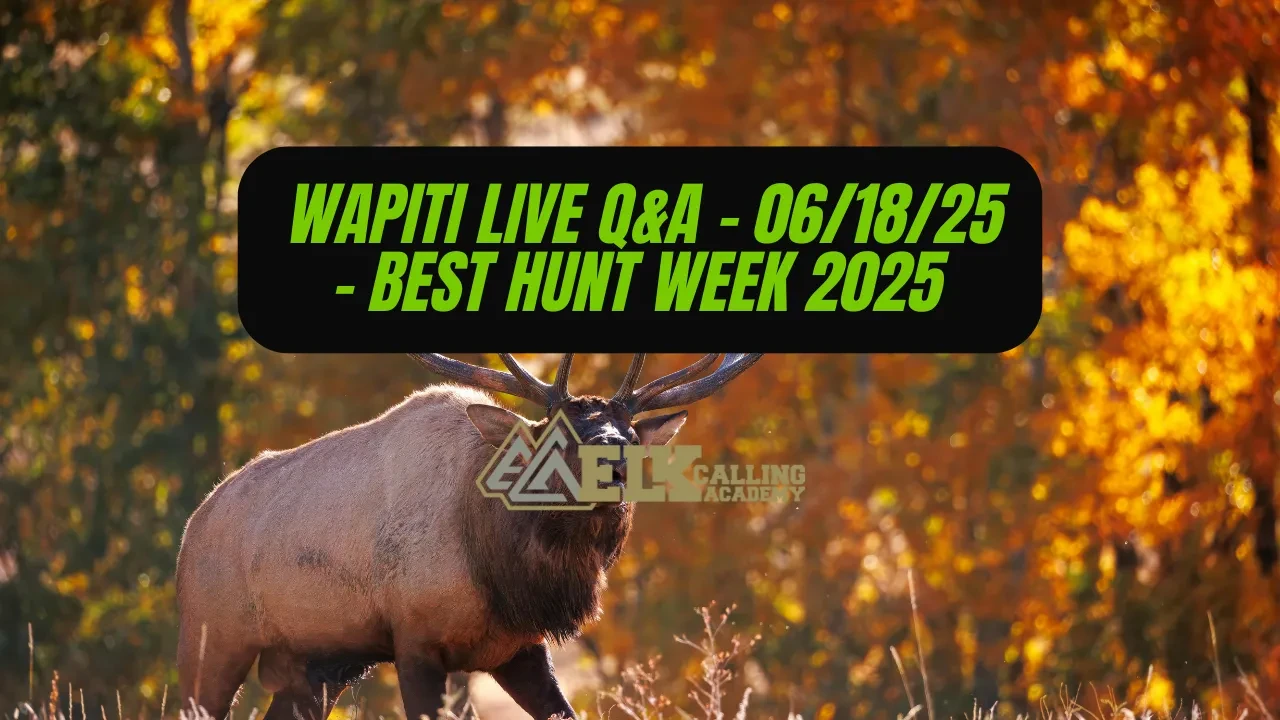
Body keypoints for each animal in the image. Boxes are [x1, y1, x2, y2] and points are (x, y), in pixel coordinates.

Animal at [175, 352, 762, 720]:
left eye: (631, 436)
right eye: (559, 437)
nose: (613, 469)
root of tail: (193, 523)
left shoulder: (517, 648)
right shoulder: (413, 640)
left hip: (317, 663)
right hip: (211, 639)